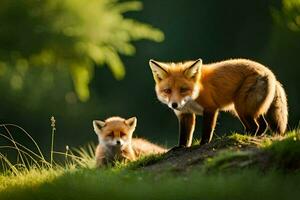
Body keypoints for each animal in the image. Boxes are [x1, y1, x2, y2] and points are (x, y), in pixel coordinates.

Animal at [150, 57, 288, 147]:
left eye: (183, 89)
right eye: (167, 91)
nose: (174, 105)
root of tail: (269, 71)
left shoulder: (210, 108)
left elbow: (207, 130)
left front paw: (203, 144)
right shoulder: (185, 114)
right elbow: (185, 136)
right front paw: (181, 148)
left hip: (241, 107)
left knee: (256, 126)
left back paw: (246, 137)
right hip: (245, 109)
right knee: (262, 125)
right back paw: (251, 136)